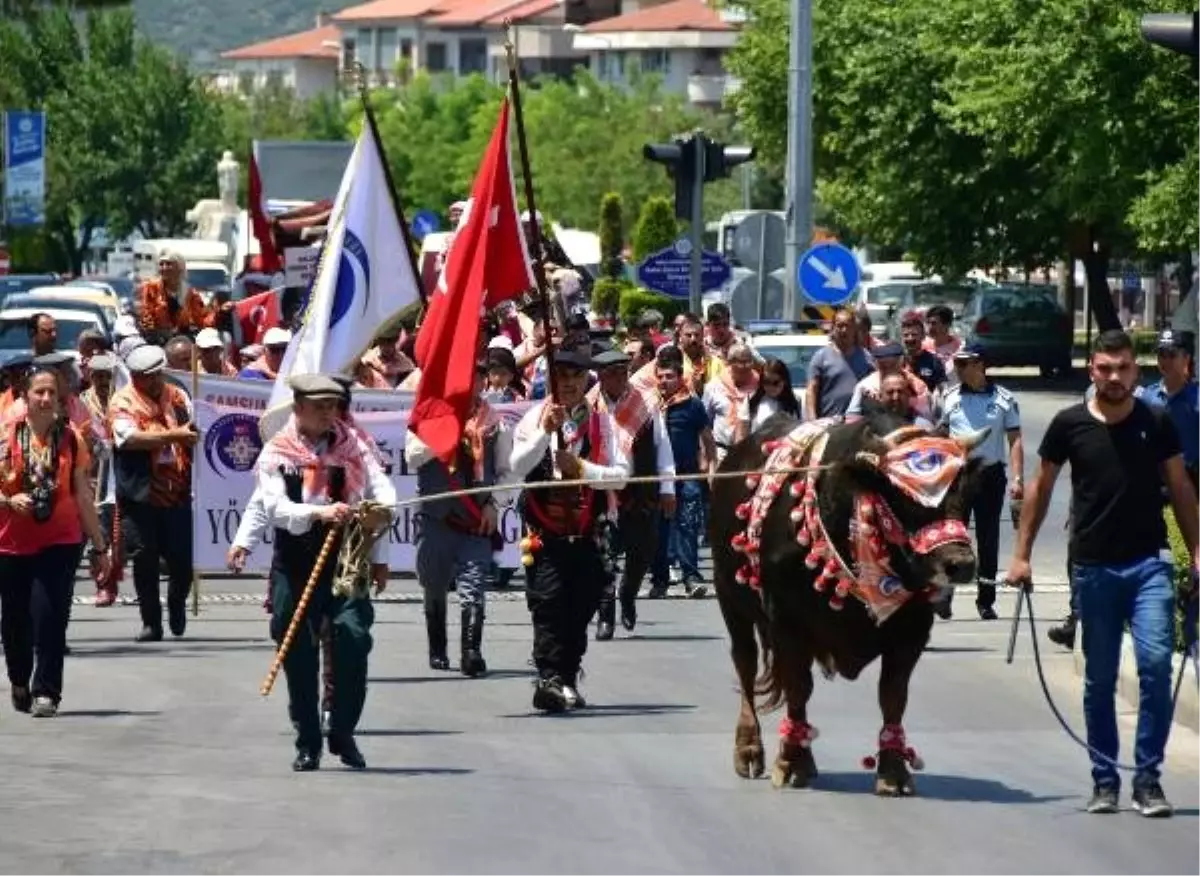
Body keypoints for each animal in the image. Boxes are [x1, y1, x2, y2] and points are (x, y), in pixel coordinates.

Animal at [710, 410, 984, 792]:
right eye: (904, 497)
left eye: (967, 492)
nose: (960, 563)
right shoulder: (787, 624)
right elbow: (799, 688)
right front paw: (791, 762)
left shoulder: (912, 632)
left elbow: (893, 696)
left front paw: (893, 771)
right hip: (730, 600)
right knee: (745, 663)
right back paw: (749, 749)